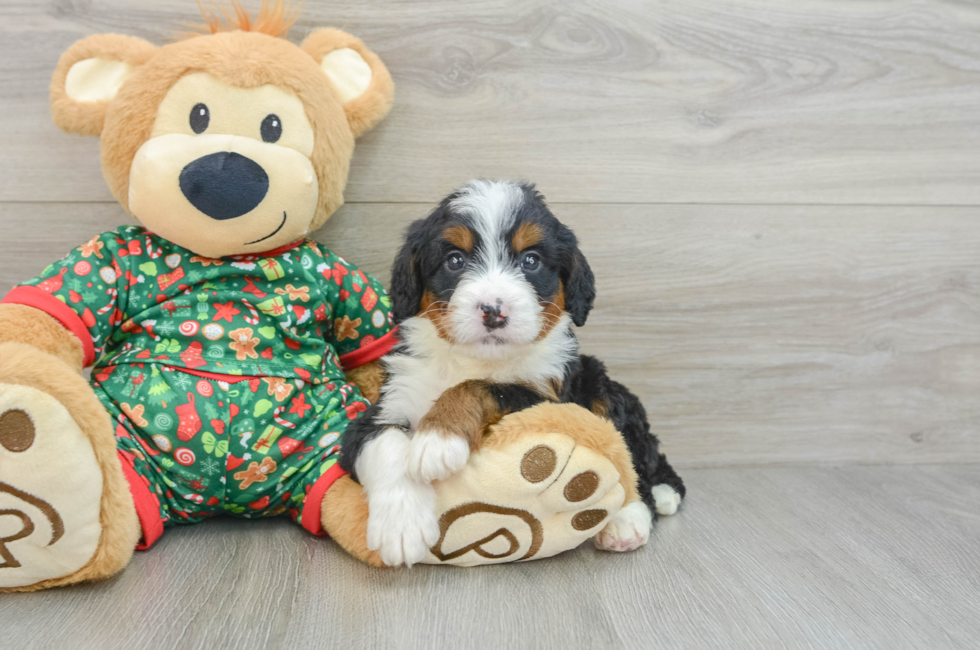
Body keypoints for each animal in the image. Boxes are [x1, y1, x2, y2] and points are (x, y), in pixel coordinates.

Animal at [340, 180, 684, 564]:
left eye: (531, 260)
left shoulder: (549, 400)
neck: (473, 359)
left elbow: (482, 386)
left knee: (633, 458)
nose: (493, 310)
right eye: (455, 260)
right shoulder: (383, 405)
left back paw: (629, 518)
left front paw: (438, 437)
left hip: (601, 385)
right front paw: (401, 526)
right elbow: (384, 442)